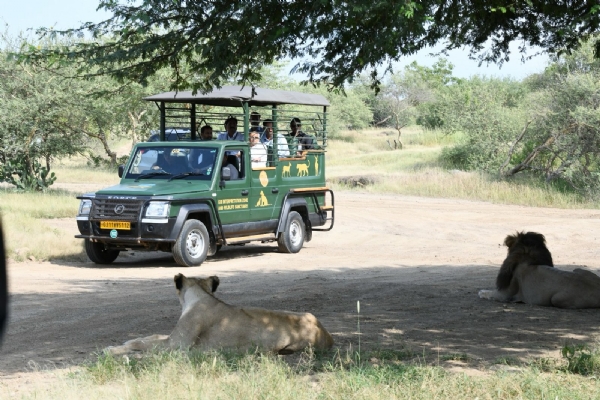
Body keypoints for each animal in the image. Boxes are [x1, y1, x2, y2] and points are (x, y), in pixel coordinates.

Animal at [106, 274, 336, 354]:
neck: (201, 295)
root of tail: (328, 335)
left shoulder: (176, 345)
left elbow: (143, 344)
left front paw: (111, 349)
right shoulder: (172, 338)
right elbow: (149, 336)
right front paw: (128, 341)